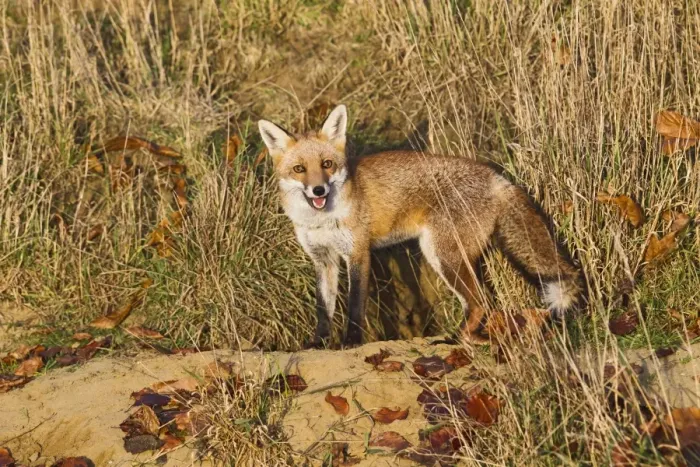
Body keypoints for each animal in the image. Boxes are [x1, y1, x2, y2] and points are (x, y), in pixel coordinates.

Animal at [258, 104, 582, 347]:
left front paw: (351, 342)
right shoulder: (323, 259)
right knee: (481, 303)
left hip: (442, 255)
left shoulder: (358, 253)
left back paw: (458, 339)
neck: (322, 221)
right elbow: (323, 309)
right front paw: (319, 343)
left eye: (327, 164)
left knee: (482, 302)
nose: (319, 191)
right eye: (299, 169)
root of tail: (496, 177)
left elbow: (354, 306)